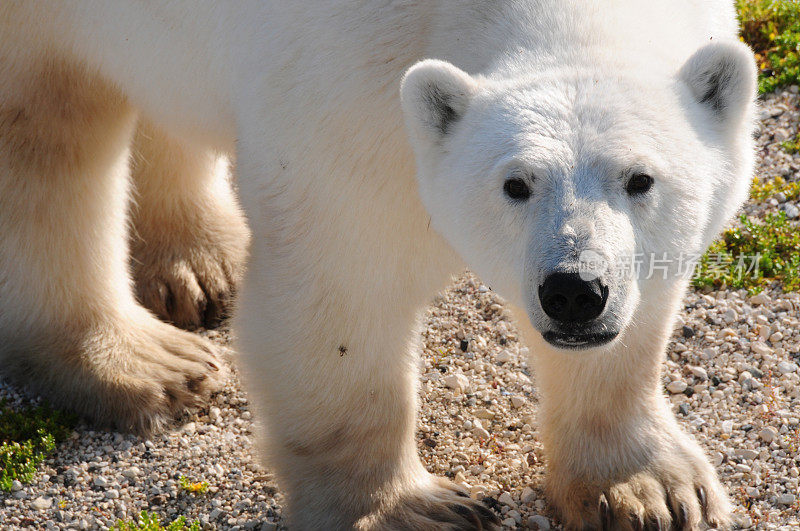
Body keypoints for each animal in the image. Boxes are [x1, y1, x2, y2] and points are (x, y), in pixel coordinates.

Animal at [0, 0, 752, 528]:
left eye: (640, 179)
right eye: (516, 183)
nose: (574, 290)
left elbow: (633, 329)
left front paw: (651, 490)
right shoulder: (347, 90)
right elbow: (342, 288)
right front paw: (412, 509)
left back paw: (202, 262)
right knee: (45, 139)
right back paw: (146, 363)